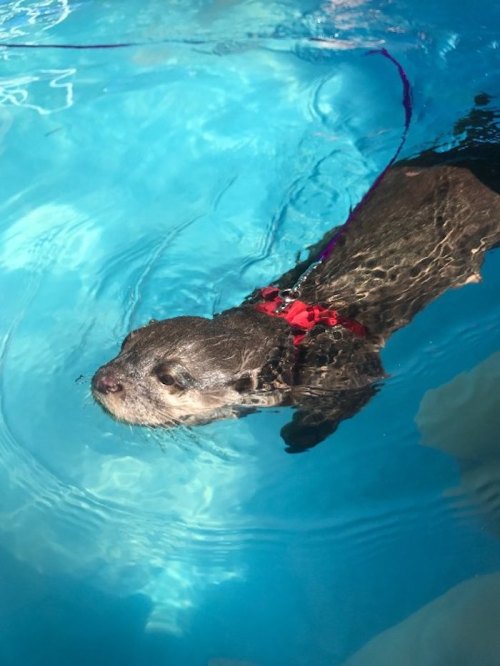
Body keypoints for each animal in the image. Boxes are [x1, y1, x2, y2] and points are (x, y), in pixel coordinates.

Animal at [92, 106, 500, 452]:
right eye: (127, 343)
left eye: (168, 377)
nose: (103, 380)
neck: (290, 331)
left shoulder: (346, 369)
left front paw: (300, 435)